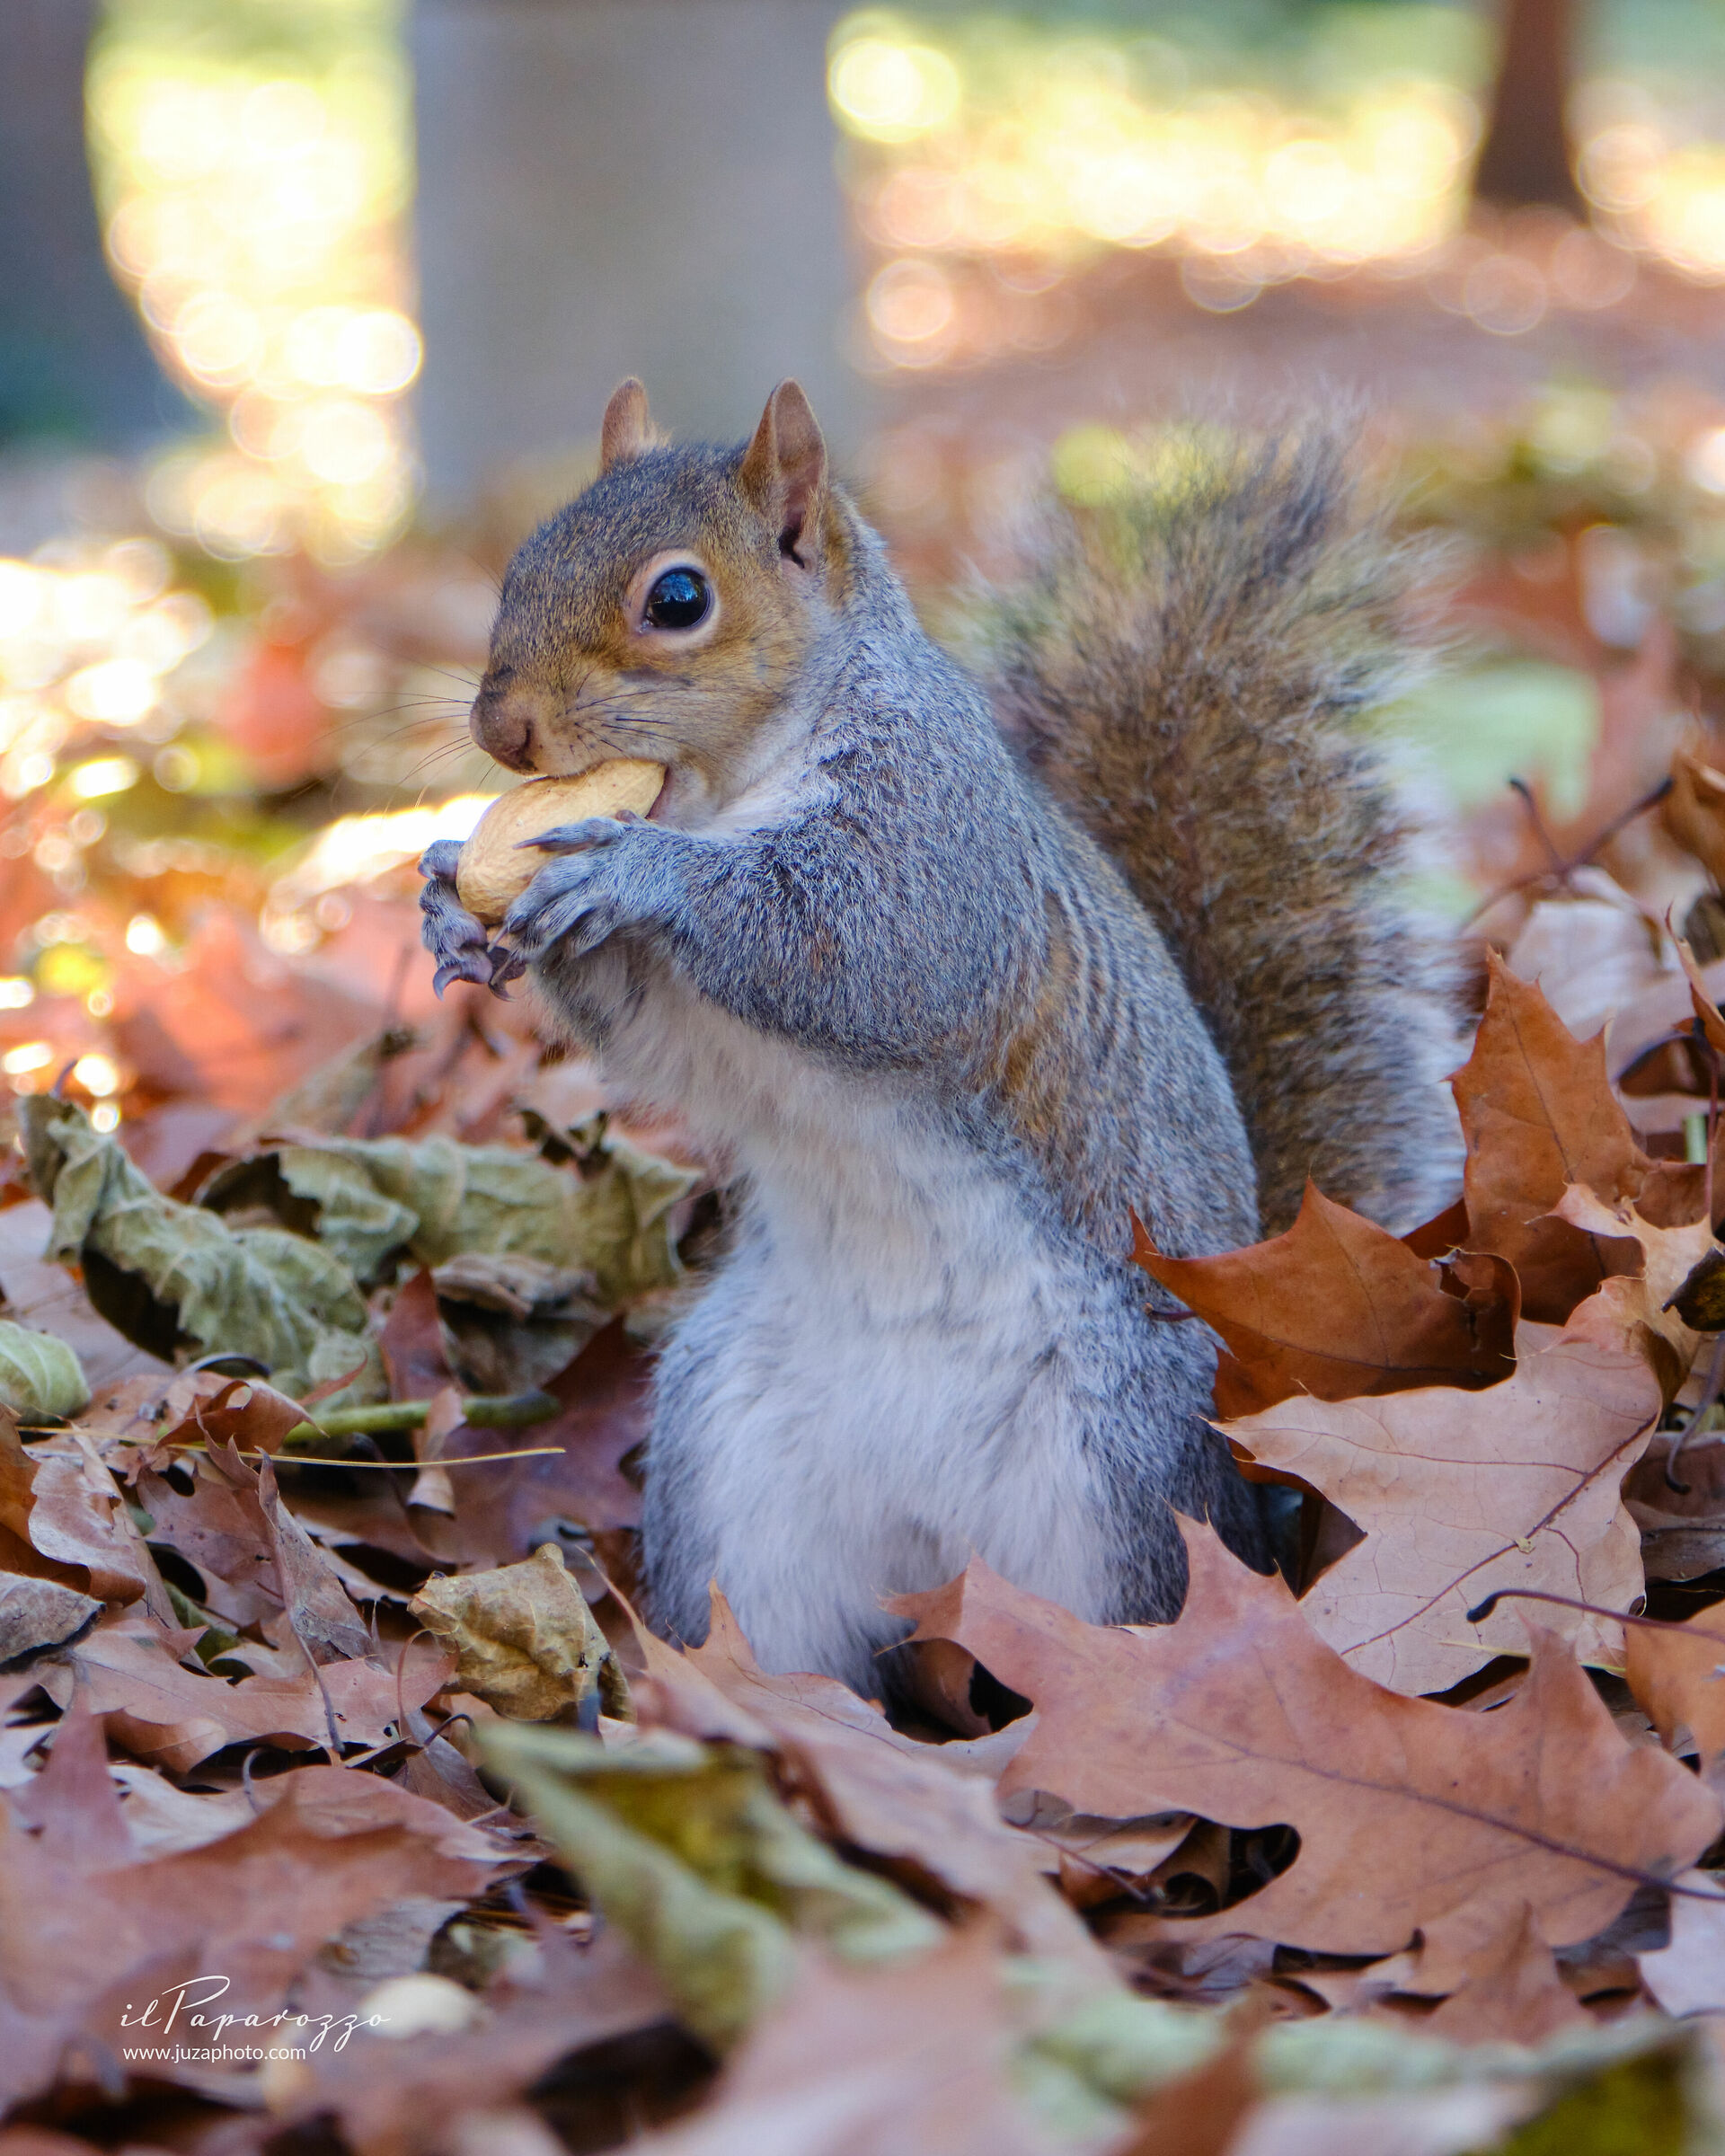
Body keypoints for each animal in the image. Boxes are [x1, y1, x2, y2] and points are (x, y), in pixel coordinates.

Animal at [420, 378, 1462, 1697]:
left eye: (678, 600)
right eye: (521, 560)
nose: (501, 728)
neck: (724, 791)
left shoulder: (931, 850)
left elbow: (852, 952)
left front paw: (634, 871)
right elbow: (654, 1030)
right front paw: (453, 909)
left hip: (1113, 1464)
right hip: (733, 1456)